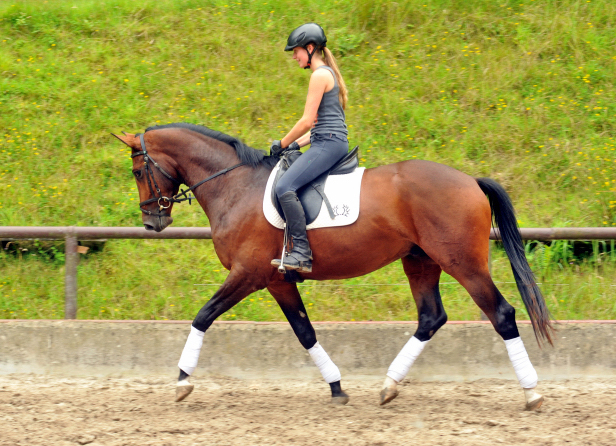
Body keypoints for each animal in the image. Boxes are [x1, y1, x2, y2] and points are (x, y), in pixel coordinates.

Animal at [112, 122, 552, 412]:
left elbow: (203, 316)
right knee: (431, 317)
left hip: (463, 263)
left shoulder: (248, 274)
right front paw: (337, 386)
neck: (235, 187)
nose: (152, 222)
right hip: (420, 261)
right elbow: (304, 331)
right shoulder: (276, 279)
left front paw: (183, 381)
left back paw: (531, 392)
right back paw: (389, 386)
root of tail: (470, 181)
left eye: (137, 171)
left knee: (501, 313)